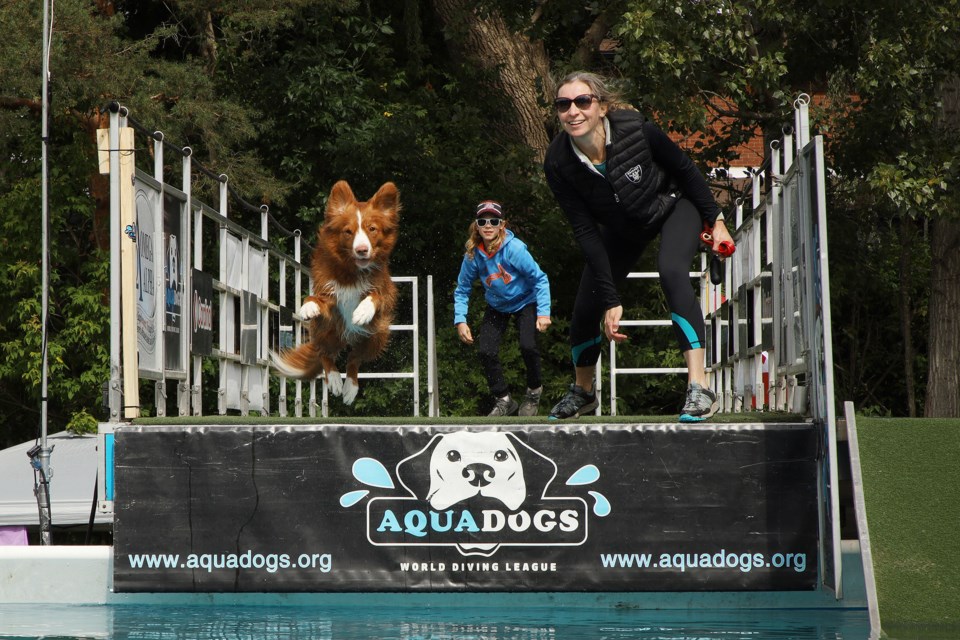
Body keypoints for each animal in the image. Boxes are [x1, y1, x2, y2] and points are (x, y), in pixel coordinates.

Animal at [272, 179, 400, 404]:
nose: (361, 250)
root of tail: (346, 338)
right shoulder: (329, 294)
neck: (351, 272)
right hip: (326, 328)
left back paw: (350, 387)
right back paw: (333, 379)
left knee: (354, 359)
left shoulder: (385, 291)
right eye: (348, 231)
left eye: (372, 229)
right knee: (324, 353)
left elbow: (376, 295)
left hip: (376, 335)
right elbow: (315, 297)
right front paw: (308, 306)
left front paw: (362, 311)